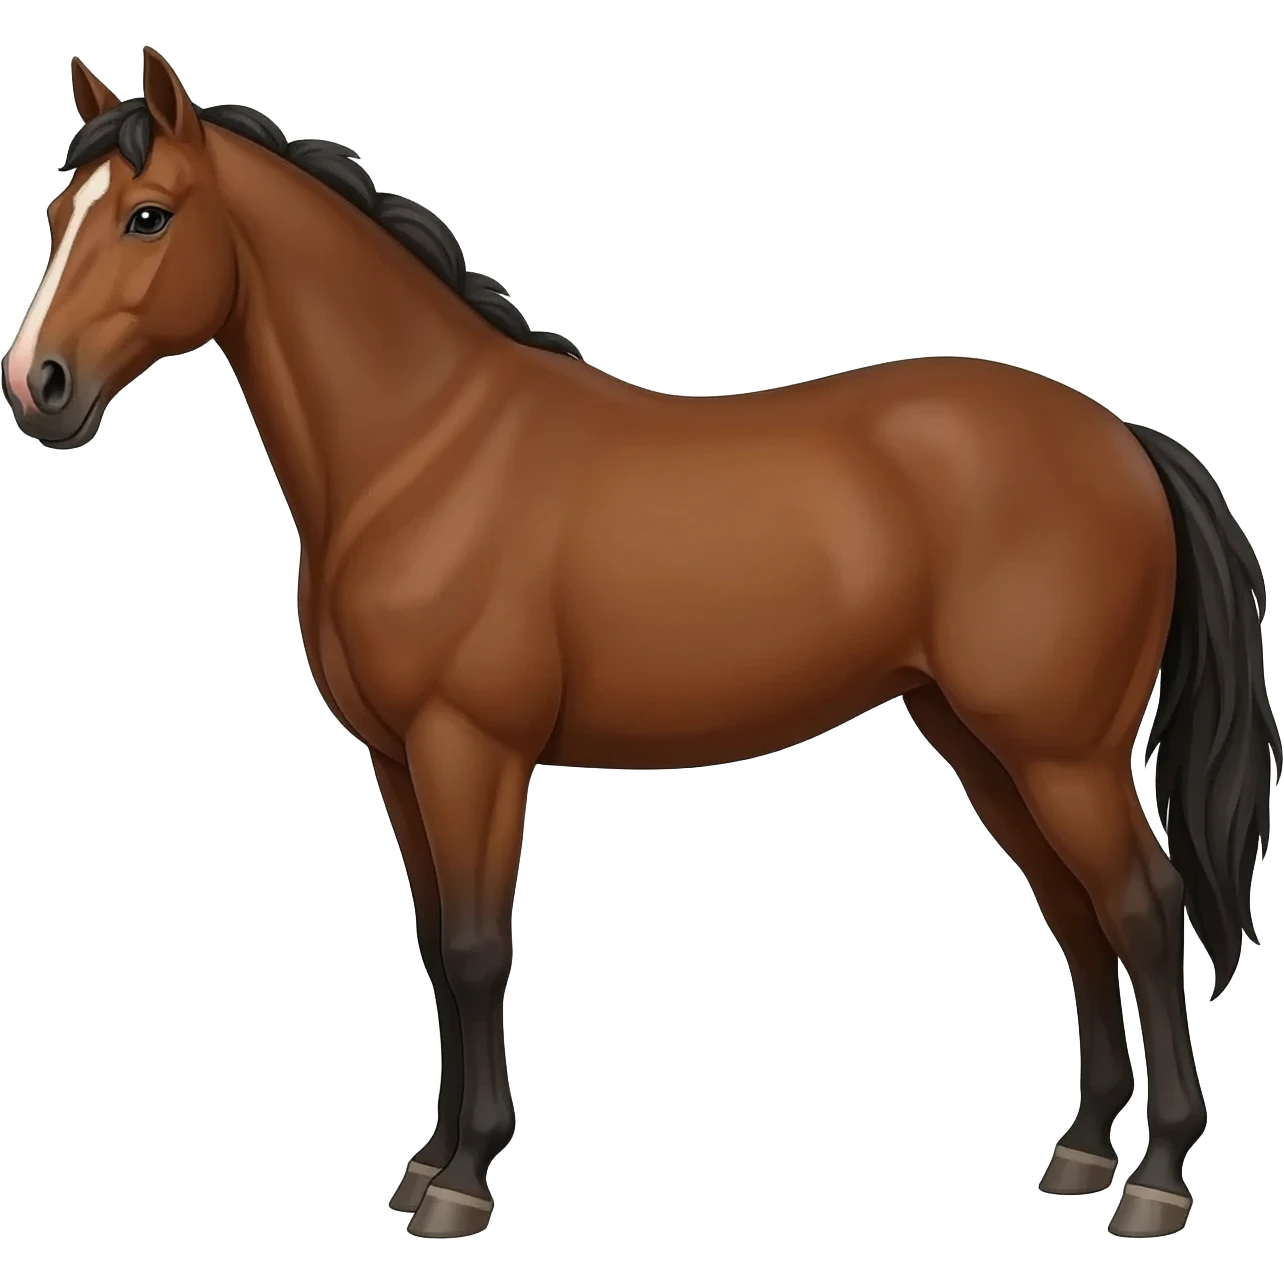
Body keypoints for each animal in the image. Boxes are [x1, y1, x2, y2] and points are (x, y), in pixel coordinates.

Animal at [3, 48, 1278, 1241]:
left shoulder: (474, 748)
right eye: (56, 217)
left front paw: (463, 1180)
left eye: (148, 214)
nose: (38, 387)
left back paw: (1155, 1180)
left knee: (1144, 907)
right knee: (1077, 914)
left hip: (1062, 752)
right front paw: (427, 1159)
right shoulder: (399, 759)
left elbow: (479, 946)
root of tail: (1120, 437)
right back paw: (1081, 1152)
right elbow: (434, 946)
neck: (426, 452)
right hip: (983, 741)